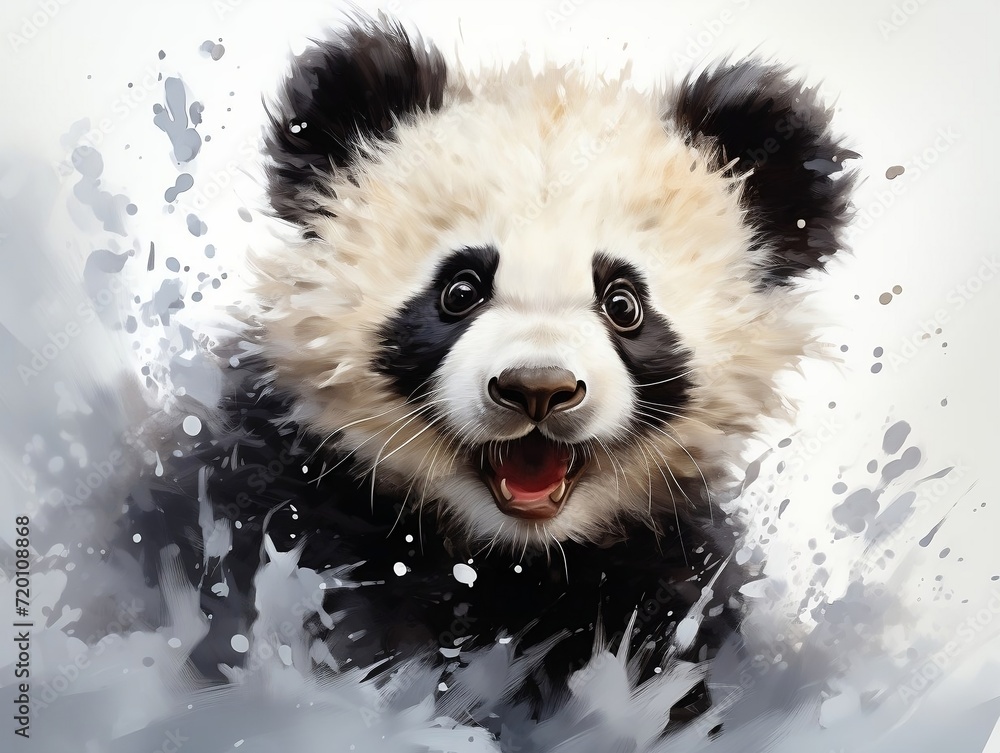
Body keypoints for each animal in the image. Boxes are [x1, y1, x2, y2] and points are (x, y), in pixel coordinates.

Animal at [129, 13, 854, 734]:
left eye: (623, 303)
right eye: (461, 290)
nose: (538, 388)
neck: (502, 558)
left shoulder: (665, 573)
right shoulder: (280, 506)